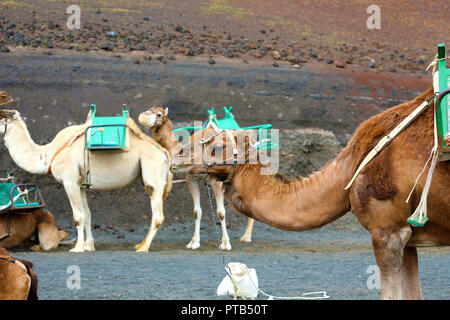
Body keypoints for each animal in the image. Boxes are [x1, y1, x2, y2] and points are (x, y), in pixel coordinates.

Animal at [0, 109, 172, 251]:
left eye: (1, 118)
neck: (48, 154)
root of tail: (164, 152)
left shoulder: (69, 181)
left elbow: (78, 216)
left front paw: (77, 248)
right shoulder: (80, 184)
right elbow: (87, 214)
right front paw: (89, 246)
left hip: (153, 172)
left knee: (157, 214)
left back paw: (144, 248)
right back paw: (140, 244)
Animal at [139, 106, 255, 251]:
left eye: (159, 114)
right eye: (150, 109)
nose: (143, 116)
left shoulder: (215, 180)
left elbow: (221, 212)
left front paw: (225, 243)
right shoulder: (191, 178)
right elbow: (196, 212)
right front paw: (194, 242)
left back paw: (247, 237)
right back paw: (246, 236)